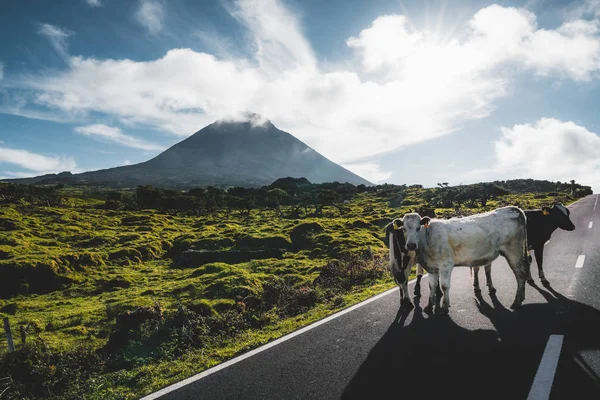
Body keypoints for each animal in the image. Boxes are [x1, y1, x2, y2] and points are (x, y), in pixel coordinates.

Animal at [394, 208, 528, 314]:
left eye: (418, 228)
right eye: (404, 229)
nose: (411, 245)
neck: (427, 238)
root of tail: (513, 209)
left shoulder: (446, 265)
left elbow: (444, 286)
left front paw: (444, 307)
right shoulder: (432, 268)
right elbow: (432, 286)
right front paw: (428, 306)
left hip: (514, 252)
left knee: (521, 275)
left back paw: (517, 302)